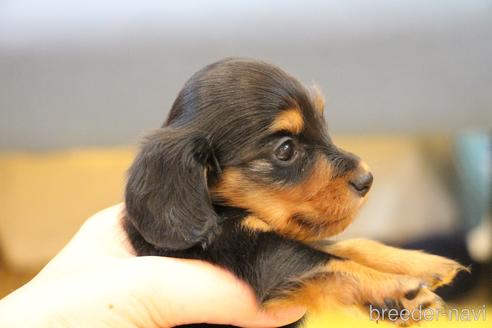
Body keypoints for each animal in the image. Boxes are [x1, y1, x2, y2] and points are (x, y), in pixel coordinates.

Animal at [124, 57, 466, 326]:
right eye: (285, 149)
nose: (367, 179)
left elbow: (348, 246)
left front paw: (419, 263)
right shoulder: (255, 252)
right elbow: (328, 263)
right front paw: (394, 287)